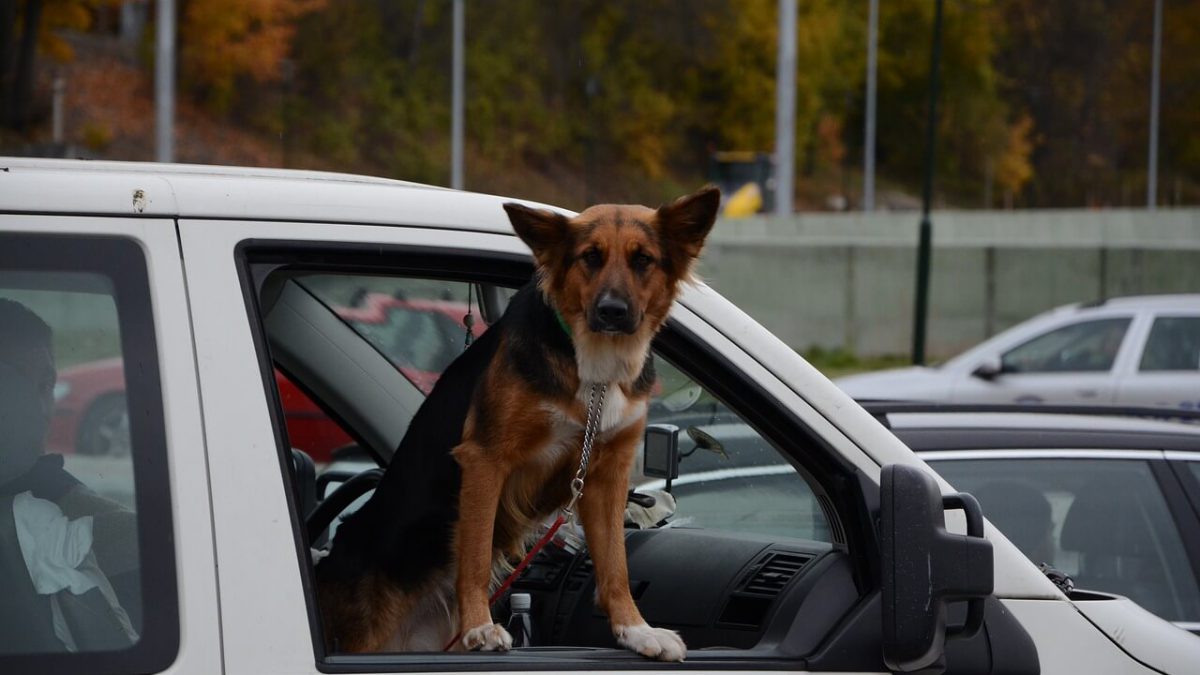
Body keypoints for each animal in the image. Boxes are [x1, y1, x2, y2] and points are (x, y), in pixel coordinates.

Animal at [314, 186, 715, 658]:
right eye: (590, 257)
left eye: (643, 260)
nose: (612, 311)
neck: (594, 366)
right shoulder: (485, 459)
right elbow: (474, 554)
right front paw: (479, 627)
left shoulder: (605, 475)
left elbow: (615, 564)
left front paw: (635, 630)